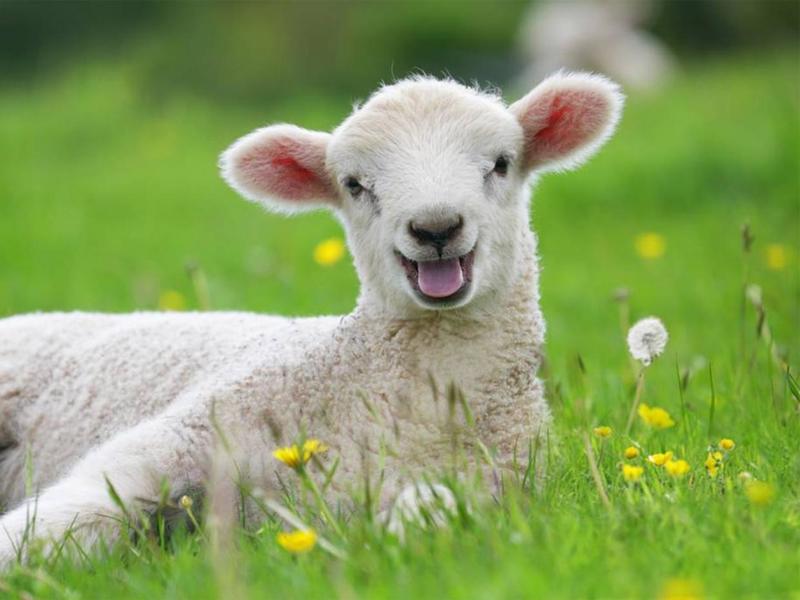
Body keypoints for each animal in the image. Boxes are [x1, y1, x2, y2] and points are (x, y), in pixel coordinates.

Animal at [0, 72, 623, 565]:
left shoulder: (502, 481)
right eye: (354, 184)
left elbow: (434, 512)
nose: (436, 228)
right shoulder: (183, 433)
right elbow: (62, 517)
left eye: (501, 164)